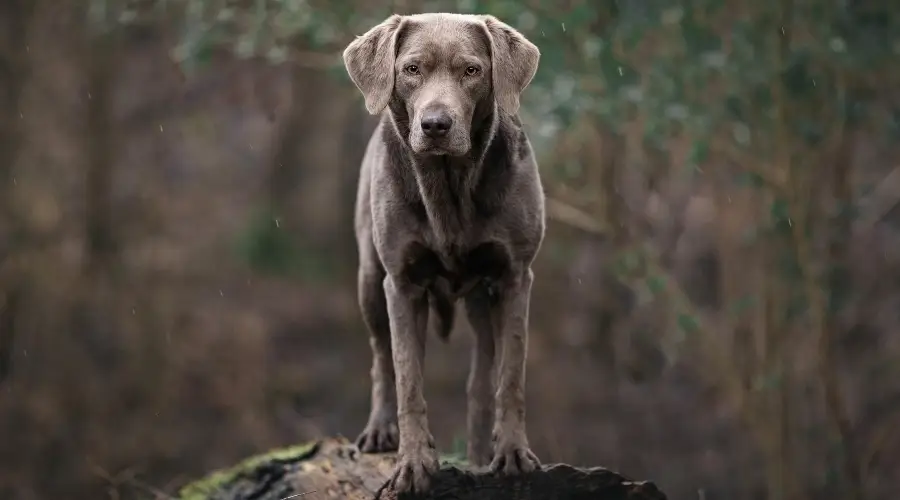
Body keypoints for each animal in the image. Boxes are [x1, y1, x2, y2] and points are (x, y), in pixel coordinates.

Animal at [342, 13, 540, 494]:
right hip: (369, 280)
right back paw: (379, 431)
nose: (435, 124)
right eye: (411, 69)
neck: (449, 185)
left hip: (481, 299)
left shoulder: (514, 277)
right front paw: (413, 464)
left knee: (481, 378)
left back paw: (480, 455)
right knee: (381, 356)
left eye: (472, 70)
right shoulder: (402, 282)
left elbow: (510, 376)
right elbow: (408, 378)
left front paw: (513, 454)